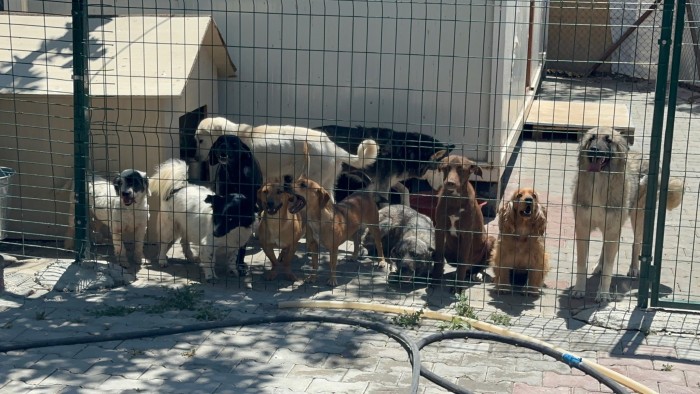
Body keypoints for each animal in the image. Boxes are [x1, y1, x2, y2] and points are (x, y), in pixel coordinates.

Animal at [430, 154, 494, 292]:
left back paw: (477, 274)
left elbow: (463, 261)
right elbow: (438, 257)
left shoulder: (466, 234)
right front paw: (435, 280)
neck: (455, 200)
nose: (450, 183)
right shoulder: (439, 229)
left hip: (491, 241)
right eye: (446, 168)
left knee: (478, 266)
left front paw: (458, 287)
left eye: (461, 169)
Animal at [576, 127, 684, 302]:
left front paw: (603, 293)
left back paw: (634, 268)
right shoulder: (583, 228)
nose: (594, 150)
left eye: (609, 140)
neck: (599, 183)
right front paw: (579, 289)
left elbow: (609, 268)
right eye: (591, 138)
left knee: (636, 243)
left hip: (638, 218)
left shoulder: (612, 228)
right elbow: (581, 264)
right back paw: (599, 265)